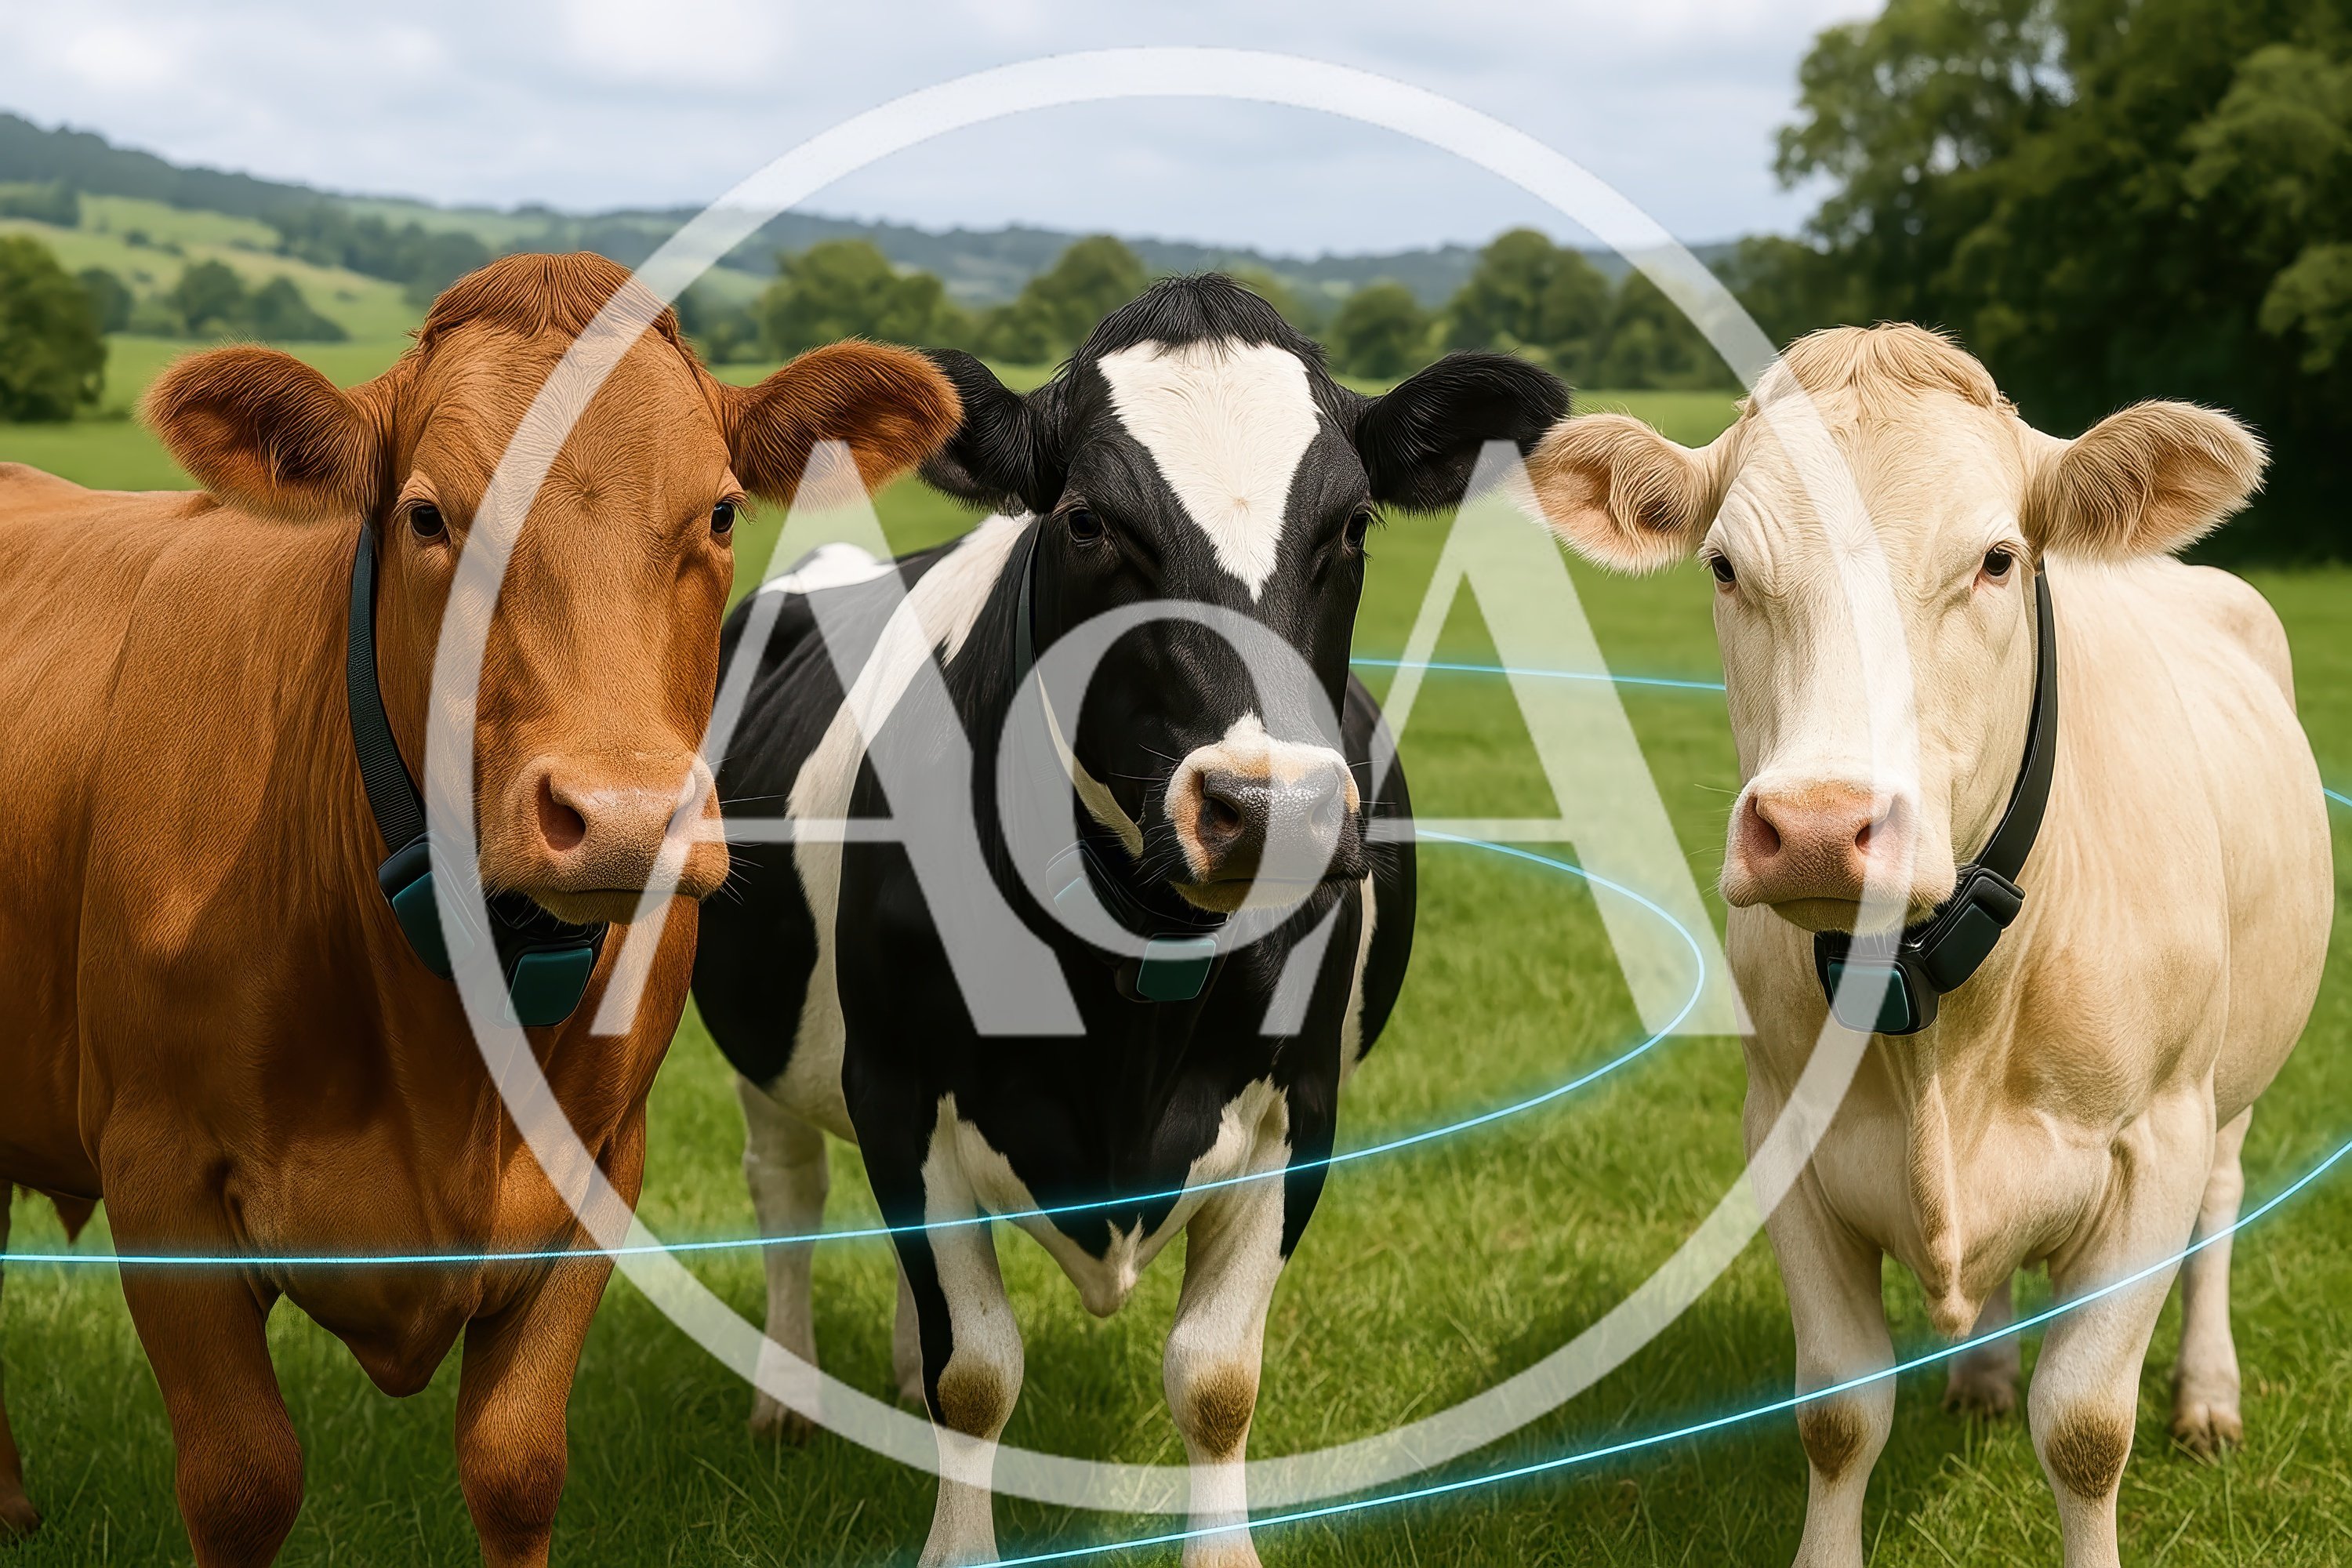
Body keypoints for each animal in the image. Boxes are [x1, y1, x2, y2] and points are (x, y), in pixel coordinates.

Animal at [0, 252, 959, 1566]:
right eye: (426, 516)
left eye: (719, 514)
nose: (620, 813)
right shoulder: (161, 1178)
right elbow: (243, 1482)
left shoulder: (598, 1172)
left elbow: (516, 1470)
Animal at [691, 273, 1566, 1566]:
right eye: (1091, 522)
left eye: (1353, 526)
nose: (1270, 807)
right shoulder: (899, 1088)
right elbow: (978, 1373)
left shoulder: (1299, 1110)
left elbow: (1214, 1379)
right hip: (767, 1047)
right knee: (788, 1197)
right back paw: (785, 1401)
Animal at [1529, 323, 2332, 1568]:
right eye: (1724, 567)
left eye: (1997, 560)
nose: (1819, 826)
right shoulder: (1783, 1137)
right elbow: (1838, 1414)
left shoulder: (2159, 1135)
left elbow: (2086, 1428)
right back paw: (1986, 1373)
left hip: (2233, 1080)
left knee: (2222, 1209)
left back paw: (2206, 1395)